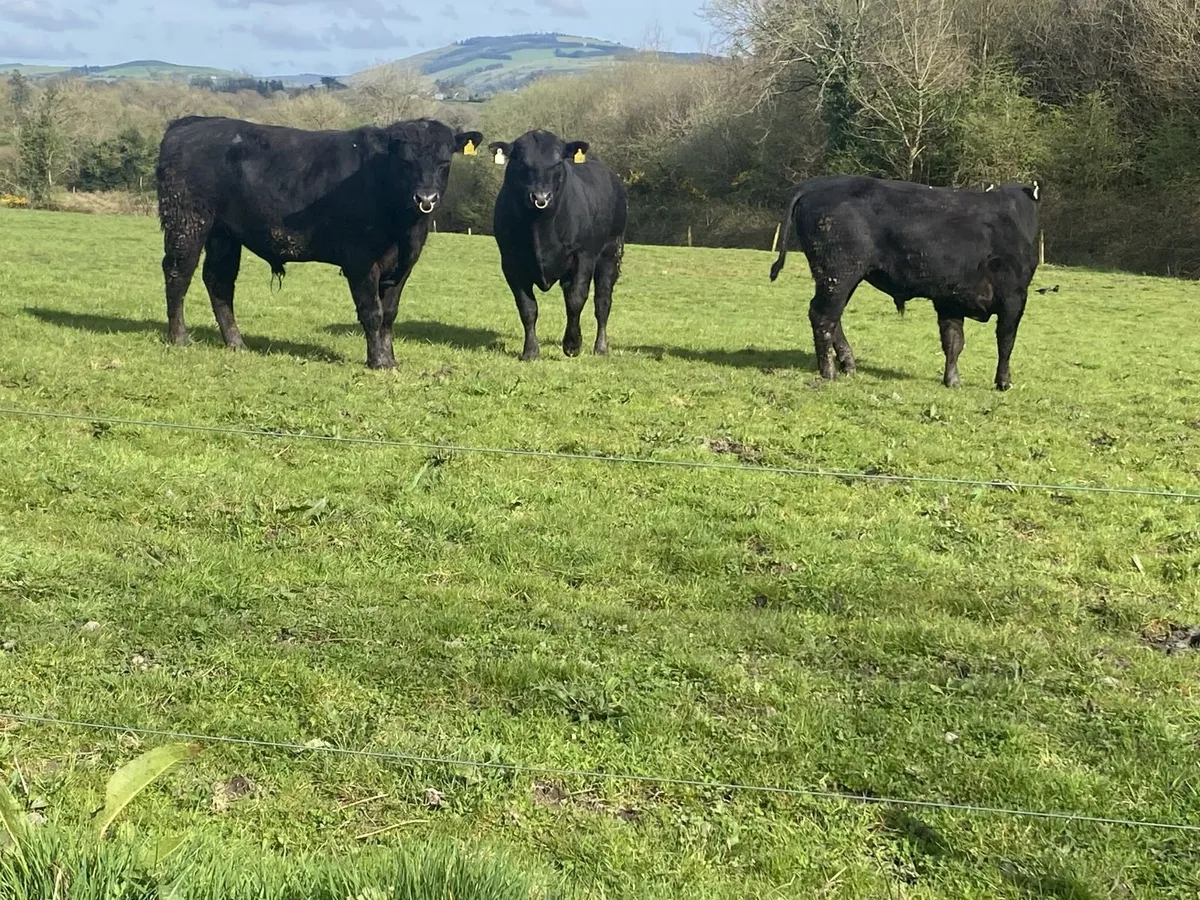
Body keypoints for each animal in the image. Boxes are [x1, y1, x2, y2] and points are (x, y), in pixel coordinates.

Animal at [155, 115, 484, 369]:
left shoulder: (403, 264)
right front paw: (377, 361)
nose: (426, 198)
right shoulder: (360, 260)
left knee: (219, 282)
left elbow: (389, 314)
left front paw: (390, 359)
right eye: (405, 162)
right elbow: (372, 312)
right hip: (187, 221)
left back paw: (237, 343)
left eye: (444, 162)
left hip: (224, 234)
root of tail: (192, 123)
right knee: (177, 273)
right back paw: (179, 337)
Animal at [487, 129, 628, 361]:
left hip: (610, 253)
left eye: (558, 162)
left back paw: (600, 347)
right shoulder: (510, 261)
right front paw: (530, 351)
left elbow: (576, 299)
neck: (540, 227)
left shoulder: (584, 255)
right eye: (522, 162)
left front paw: (572, 344)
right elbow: (527, 307)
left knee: (602, 302)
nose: (541, 197)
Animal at [769, 174, 1042, 390]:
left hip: (841, 278)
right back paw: (829, 371)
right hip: (838, 274)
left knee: (833, 318)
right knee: (823, 316)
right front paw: (1004, 382)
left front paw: (952, 380)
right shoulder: (1014, 297)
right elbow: (1005, 341)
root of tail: (815, 184)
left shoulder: (950, 299)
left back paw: (848, 364)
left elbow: (954, 341)